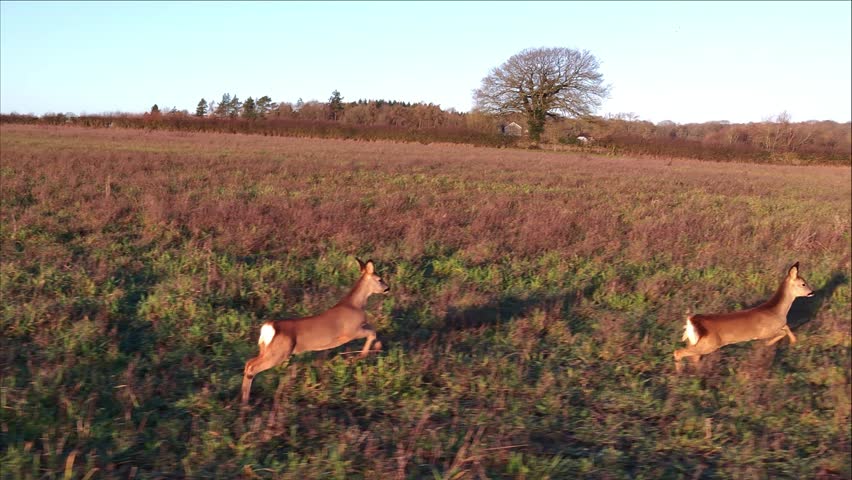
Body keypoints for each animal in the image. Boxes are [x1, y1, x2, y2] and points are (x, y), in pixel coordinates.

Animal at [241, 258, 390, 405]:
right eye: (380, 279)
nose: (388, 288)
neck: (355, 305)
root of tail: (269, 327)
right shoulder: (351, 331)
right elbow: (372, 332)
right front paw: (362, 355)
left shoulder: (359, 327)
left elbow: (373, 329)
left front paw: (377, 347)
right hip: (279, 352)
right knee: (253, 367)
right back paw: (246, 402)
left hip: (266, 349)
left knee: (249, 362)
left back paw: (243, 399)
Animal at [674, 262, 814, 373]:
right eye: (803, 284)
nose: (811, 292)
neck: (776, 311)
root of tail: (692, 321)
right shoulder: (764, 332)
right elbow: (783, 332)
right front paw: (769, 344)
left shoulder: (780, 325)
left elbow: (787, 327)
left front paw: (794, 342)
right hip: (709, 344)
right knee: (679, 352)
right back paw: (681, 373)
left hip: (696, 341)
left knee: (693, 357)